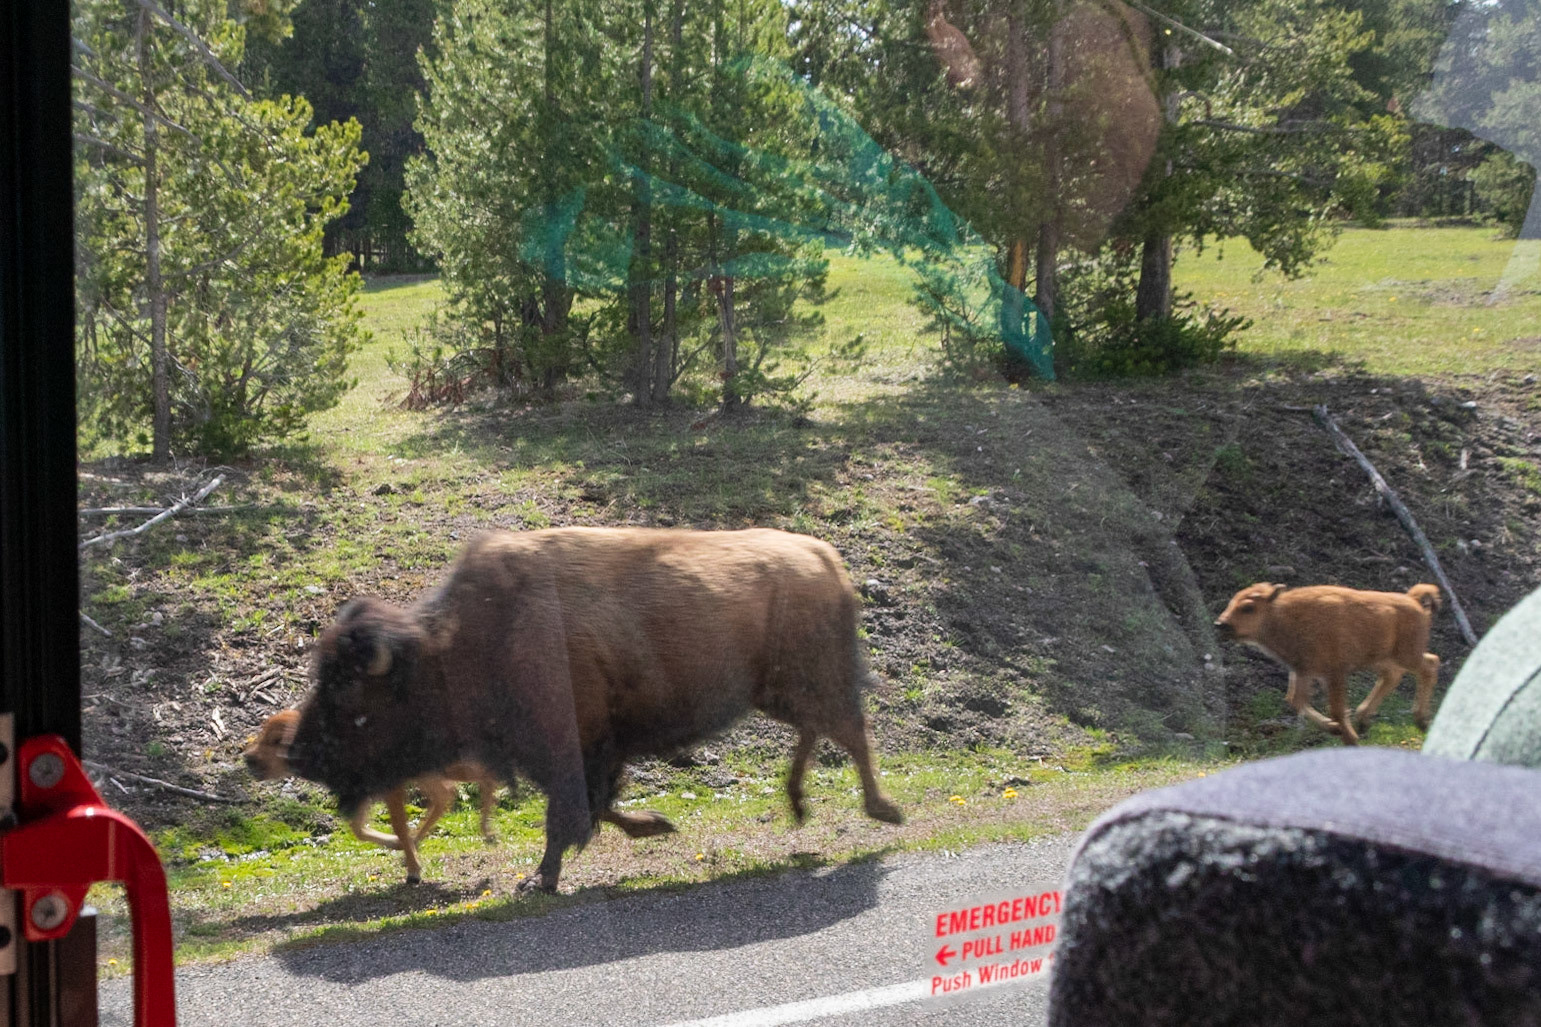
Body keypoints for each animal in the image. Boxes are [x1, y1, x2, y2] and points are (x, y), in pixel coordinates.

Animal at [288, 527, 903, 891]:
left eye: (350, 693)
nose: (298, 753)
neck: (451, 647)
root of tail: (824, 556)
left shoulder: (574, 747)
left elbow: (572, 811)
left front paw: (539, 880)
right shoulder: (585, 751)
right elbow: (594, 806)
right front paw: (655, 826)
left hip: (810, 682)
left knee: (850, 731)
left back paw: (882, 809)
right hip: (776, 692)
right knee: (819, 731)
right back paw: (800, 804)